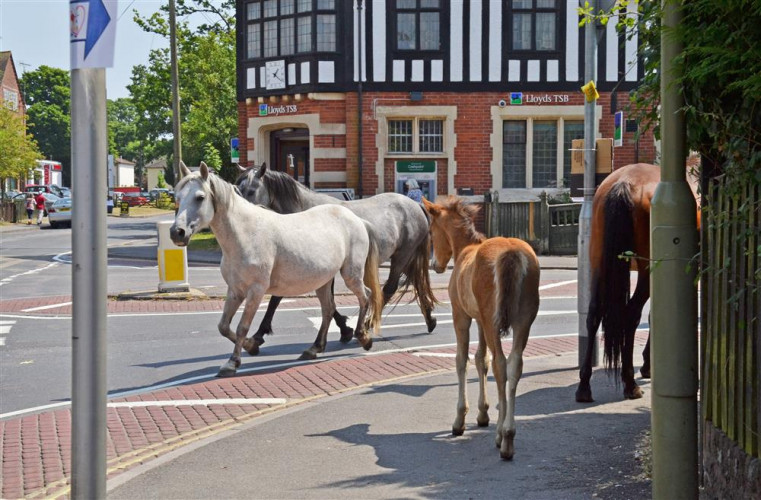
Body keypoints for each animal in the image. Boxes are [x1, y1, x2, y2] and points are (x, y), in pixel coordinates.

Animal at [572, 163, 696, 402]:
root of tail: (624, 184)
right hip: (648, 268)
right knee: (631, 314)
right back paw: (630, 383)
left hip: (598, 261)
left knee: (593, 314)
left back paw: (584, 386)